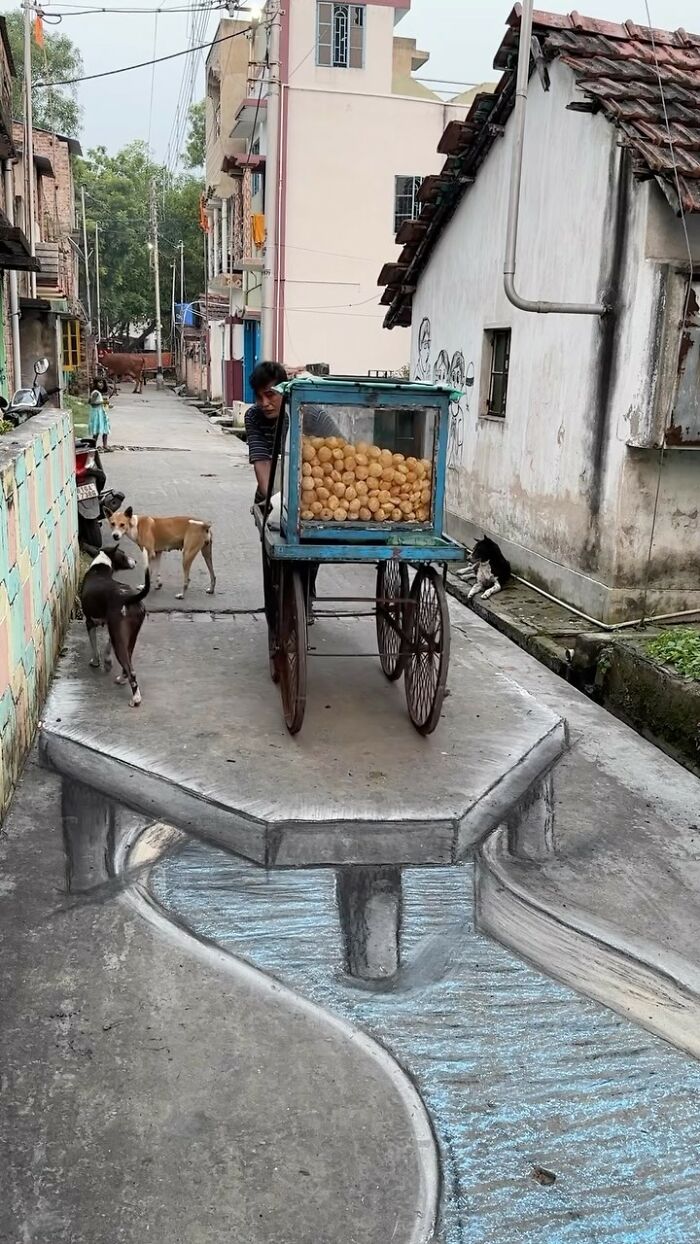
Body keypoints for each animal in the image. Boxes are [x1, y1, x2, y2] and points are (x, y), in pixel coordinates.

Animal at [80, 547, 149, 711]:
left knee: (132, 671)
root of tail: (129, 599)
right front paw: (107, 662)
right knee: (128, 662)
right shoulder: (112, 628)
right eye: (123, 554)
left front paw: (96, 662)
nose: (135, 561)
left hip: (120, 641)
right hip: (130, 637)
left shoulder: (89, 623)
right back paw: (122, 678)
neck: (100, 568)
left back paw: (136, 699)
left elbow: (95, 646)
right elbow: (107, 645)